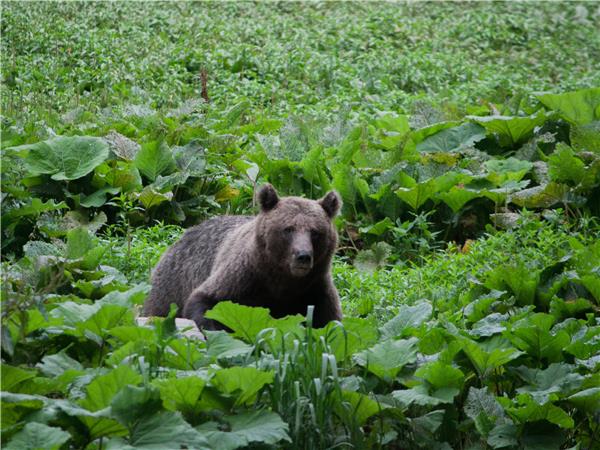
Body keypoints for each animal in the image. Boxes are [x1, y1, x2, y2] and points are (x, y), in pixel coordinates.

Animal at [142, 184, 342, 330]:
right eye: (288, 229)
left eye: (315, 232)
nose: (303, 256)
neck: (281, 281)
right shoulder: (243, 278)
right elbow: (205, 301)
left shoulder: (314, 291)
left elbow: (330, 323)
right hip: (172, 283)